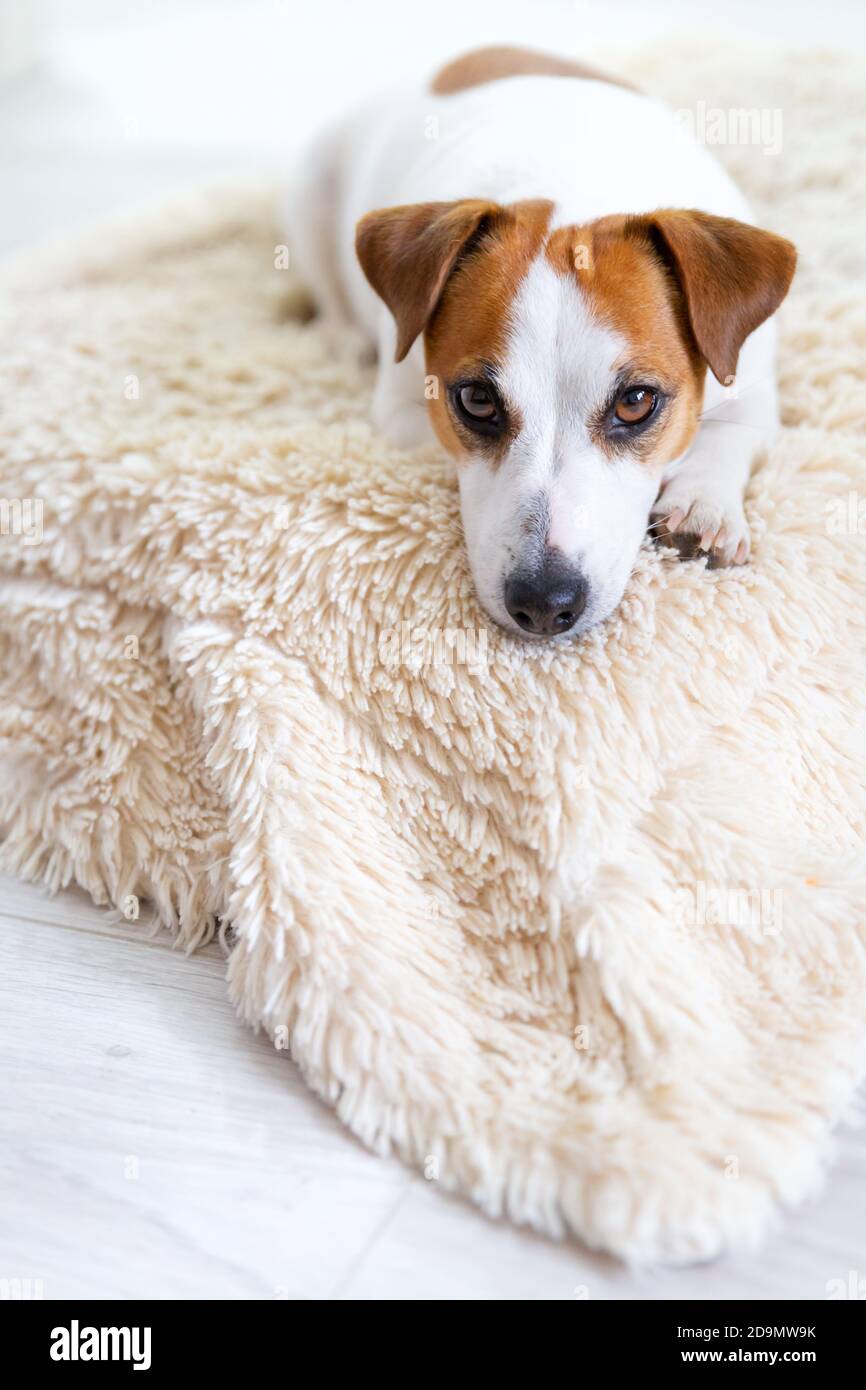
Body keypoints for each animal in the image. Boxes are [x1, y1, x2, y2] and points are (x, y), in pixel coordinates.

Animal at [287, 43, 795, 639]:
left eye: (637, 402)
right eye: (476, 400)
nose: (546, 604)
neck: (575, 183)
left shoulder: (752, 382)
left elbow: (730, 436)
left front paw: (703, 506)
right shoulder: (401, 409)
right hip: (309, 195)